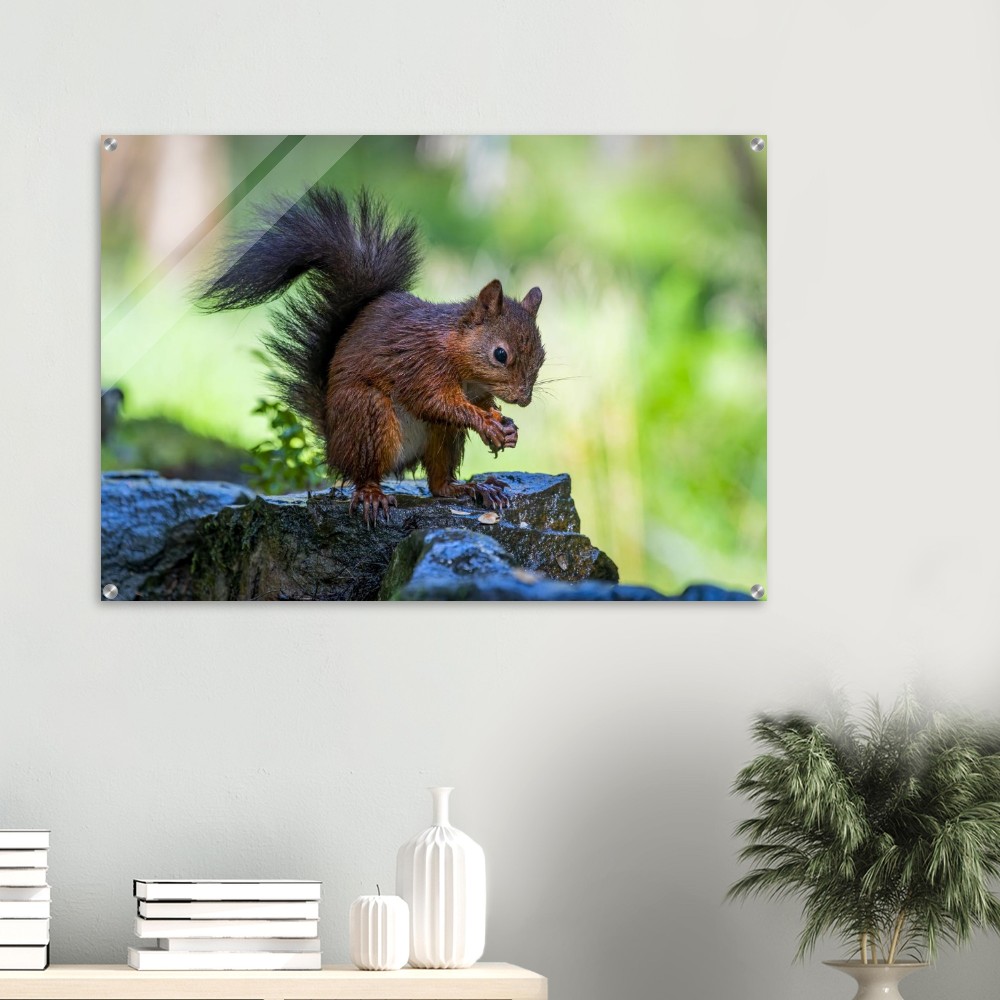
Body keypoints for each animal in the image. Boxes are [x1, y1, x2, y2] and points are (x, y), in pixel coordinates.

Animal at [198, 189, 545, 524]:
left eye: (542, 356)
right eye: (500, 354)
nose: (524, 399)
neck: (461, 360)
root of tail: (333, 444)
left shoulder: (474, 389)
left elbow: (480, 404)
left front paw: (505, 425)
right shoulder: (421, 365)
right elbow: (436, 402)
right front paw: (487, 423)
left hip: (442, 436)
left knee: (438, 482)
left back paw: (471, 488)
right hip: (367, 415)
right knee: (365, 472)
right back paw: (372, 494)